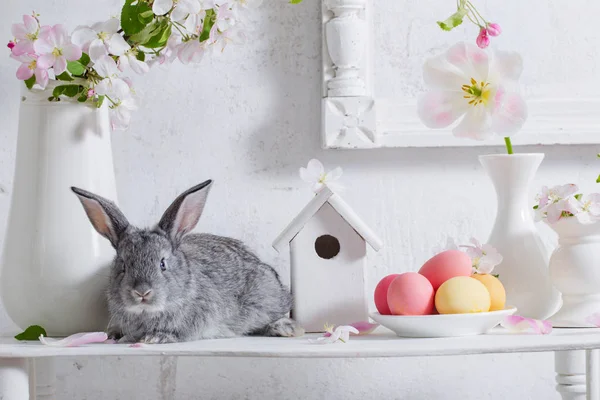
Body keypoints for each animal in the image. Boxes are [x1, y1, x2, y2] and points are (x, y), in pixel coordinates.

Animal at [71, 180, 304, 342]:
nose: (142, 292)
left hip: (266, 297)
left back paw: (286, 329)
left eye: (162, 264)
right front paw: (113, 334)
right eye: (123, 265)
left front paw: (157, 337)